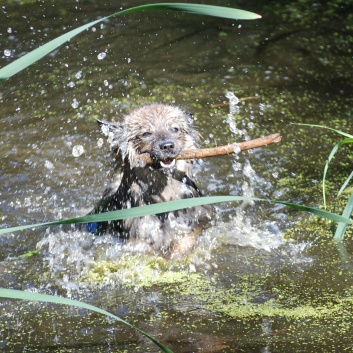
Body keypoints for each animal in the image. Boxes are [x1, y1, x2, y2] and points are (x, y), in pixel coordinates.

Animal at [88, 103, 212, 254]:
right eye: (146, 133)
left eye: (175, 129)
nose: (167, 146)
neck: (167, 199)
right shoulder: (140, 239)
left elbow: (187, 239)